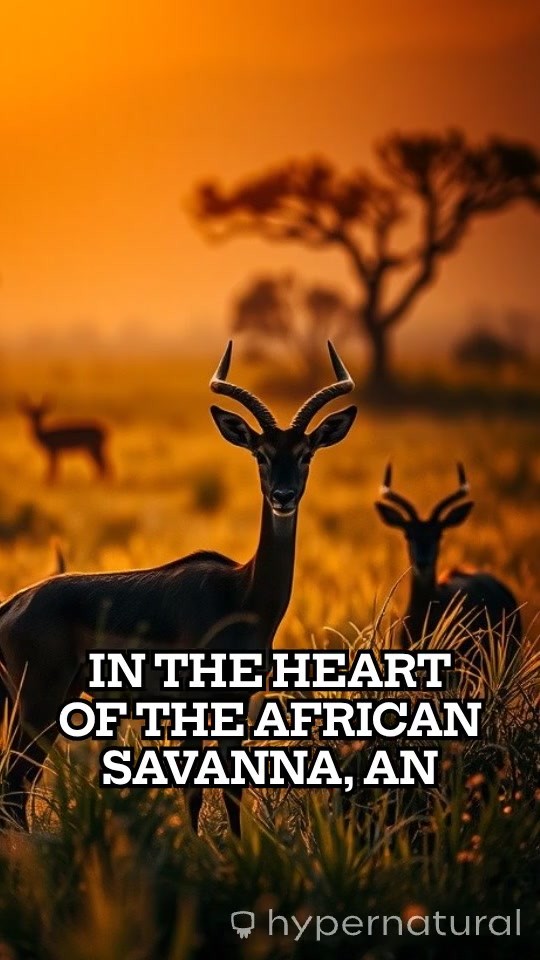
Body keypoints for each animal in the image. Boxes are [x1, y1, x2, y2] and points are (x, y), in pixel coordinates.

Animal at [0, 342, 356, 832]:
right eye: (260, 454)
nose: (283, 496)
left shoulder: (235, 703)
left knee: (18, 786)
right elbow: (192, 789)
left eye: (307, 453)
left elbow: (231, 789)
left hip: (51, 703)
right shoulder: (188, 703)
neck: (241, 594)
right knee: (13, 783)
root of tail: (13, 604)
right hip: (39, 702)